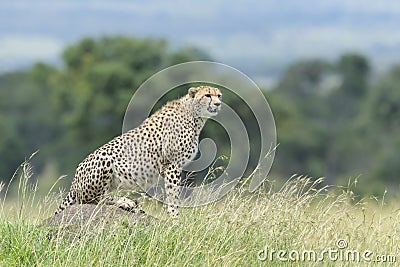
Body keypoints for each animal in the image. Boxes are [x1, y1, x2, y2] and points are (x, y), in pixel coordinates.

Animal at [55, 86, 223, 218]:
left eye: (219, 95)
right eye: (207, 95)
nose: (218, 104)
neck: (194, 115)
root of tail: (74, 179)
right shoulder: (172, 165)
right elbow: (173, 195)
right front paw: (175, 218)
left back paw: (132, 204)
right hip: (105, 159)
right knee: (92, 199)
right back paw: (126, 202)